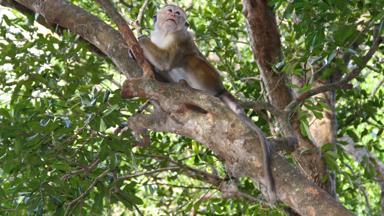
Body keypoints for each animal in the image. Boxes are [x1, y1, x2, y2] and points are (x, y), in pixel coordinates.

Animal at [138, 4, 276, 202]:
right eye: (170, 10)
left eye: (178, 13)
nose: (173, 15)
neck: (165, 33)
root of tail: (220, 87)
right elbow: (162, 64)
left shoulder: (181, 38)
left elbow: (166, 60)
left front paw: (140, 39)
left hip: (208, 77)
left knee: (190, 58)